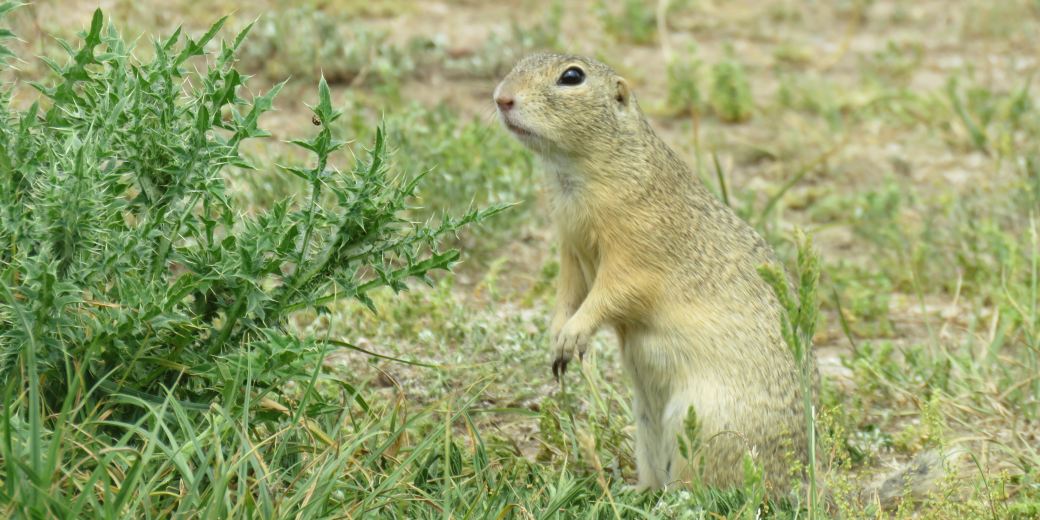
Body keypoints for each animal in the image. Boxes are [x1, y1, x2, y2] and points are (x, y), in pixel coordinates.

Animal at [493, 53, 956, 504]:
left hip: (701, 424)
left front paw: (574, 334)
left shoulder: (636, 251)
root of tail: (803, 482)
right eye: (520, 61)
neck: (575, 173)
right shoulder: (570, 249)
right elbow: (567, 293)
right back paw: (633, 492)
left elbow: (611, 294)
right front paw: (557, 335)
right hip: (647, 425)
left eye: (572, 77)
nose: (501, 98)